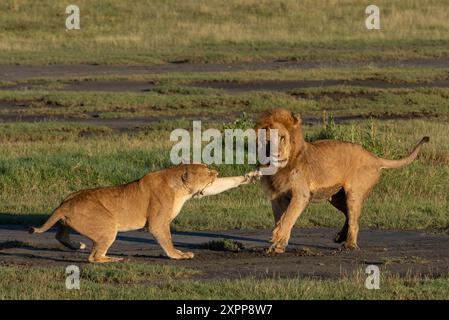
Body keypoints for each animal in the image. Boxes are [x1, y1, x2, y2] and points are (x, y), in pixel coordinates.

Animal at [30, 164, 260, 264]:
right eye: (207, 171)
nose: (217, 172)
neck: (179, 185)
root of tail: (65, 204)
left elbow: (221, 185)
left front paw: (249, 176)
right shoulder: (158, 223)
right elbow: (166, 240)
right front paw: (179, 255)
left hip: (71, 216)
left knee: (60, 234)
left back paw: (77, 245)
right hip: (108, 225)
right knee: (93, 258)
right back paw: (113, 259)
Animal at [256, 109, 428, 254]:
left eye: (282, 138)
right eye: (267, 140)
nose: (276, 154)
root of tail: (374, 157)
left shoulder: (301, 195)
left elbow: (287, 218)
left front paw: (276, 239)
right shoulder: (277, 197)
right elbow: (280, 219)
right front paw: (277, 246)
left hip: (354, 193)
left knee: (354, 220)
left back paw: (349, 245)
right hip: (336, 197)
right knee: (348, 215)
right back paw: (340, 237)